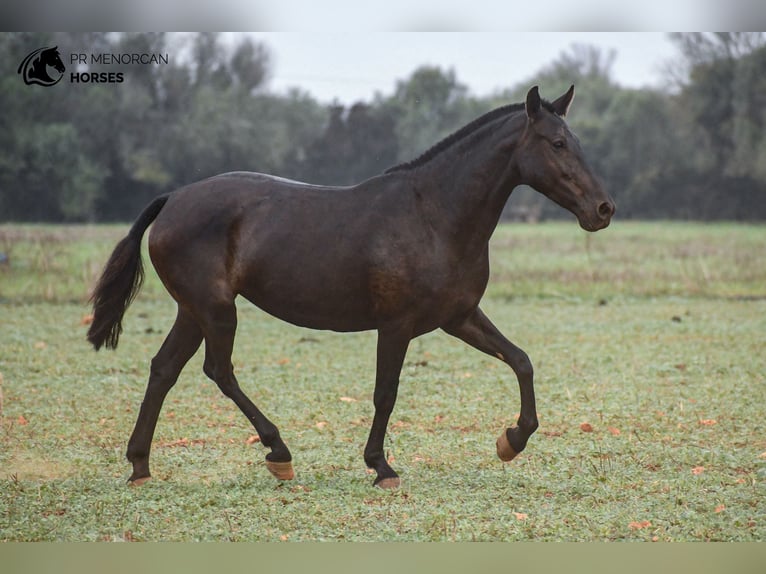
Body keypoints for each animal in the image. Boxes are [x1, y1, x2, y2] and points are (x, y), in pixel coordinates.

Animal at [88, 85, 616, 490]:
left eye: (575, 140)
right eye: (556, 143)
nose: (604, 209)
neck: (434, 215)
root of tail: (173, 198)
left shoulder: (459, 318)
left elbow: (521, 361)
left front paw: (511, 440)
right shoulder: (396, 325)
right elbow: (386, 392)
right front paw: (382, 467)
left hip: (193, 311)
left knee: (164, 370)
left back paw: (140, 467)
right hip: (215, 309)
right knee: (218, 371)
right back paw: (278, 452)